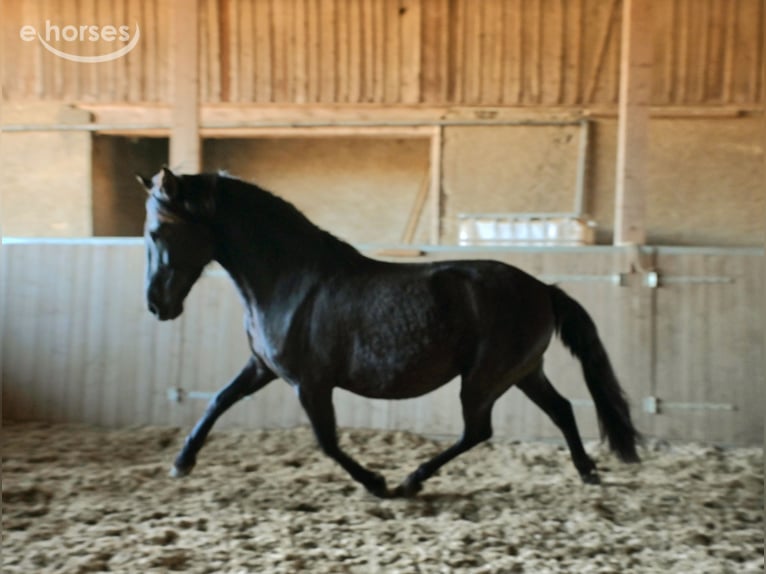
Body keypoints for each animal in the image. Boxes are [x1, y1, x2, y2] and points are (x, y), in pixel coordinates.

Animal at [136, 167, 641, 498]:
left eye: (158, 232)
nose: (156, 305)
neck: (290, 281)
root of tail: (543, 290)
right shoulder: (262, 367)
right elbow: (218, 401)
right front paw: (182, 463)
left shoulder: (309, 383)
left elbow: (327, 441)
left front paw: (377, 483)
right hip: (523, 372)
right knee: (561, 410)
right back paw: (588, 472)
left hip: (485, 379)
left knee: (478, 430)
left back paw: (411, 481)